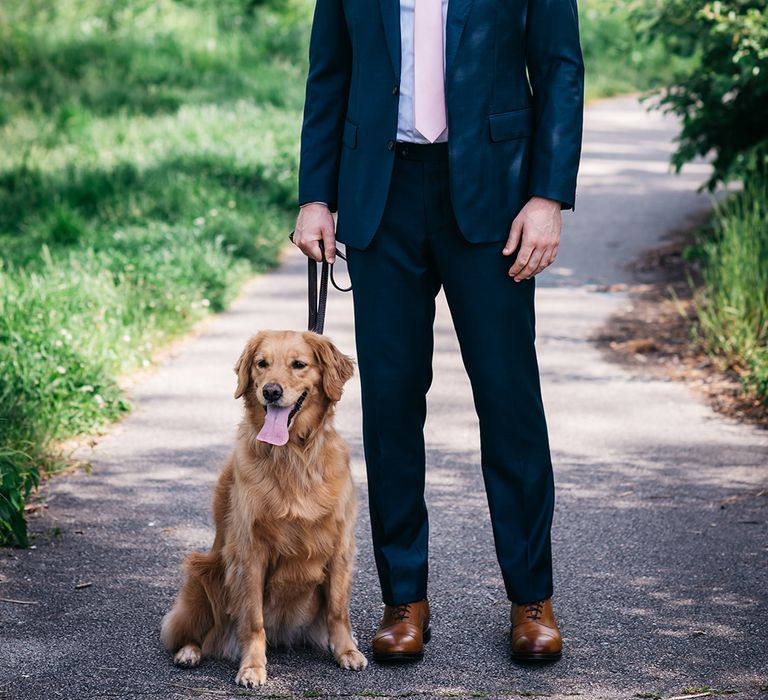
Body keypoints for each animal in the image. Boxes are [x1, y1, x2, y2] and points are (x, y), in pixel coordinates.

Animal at [160, 330, 368, 688]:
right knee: (200, 634)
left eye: (299, 364)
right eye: (262, 363)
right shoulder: (250, 551)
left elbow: (338, 610)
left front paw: (346, 651)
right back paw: (189, 652)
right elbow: (253, 620)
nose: (271, 391)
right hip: (201, 573)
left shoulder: (341, 545)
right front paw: (253, 667)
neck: (292, 455)